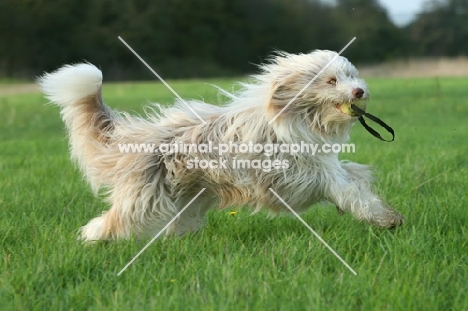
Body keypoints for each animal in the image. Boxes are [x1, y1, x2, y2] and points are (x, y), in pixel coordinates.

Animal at [38, 50, 404, 241]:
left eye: (352, 75)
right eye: (331, 81)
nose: (359, 91)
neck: (298, 117)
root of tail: (140, 136)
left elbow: (351, 174)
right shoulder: (295, 175)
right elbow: (344, 188)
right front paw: (383, 217)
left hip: (188, 197)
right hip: (145, 197)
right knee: (115, 219)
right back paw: (92, 238)